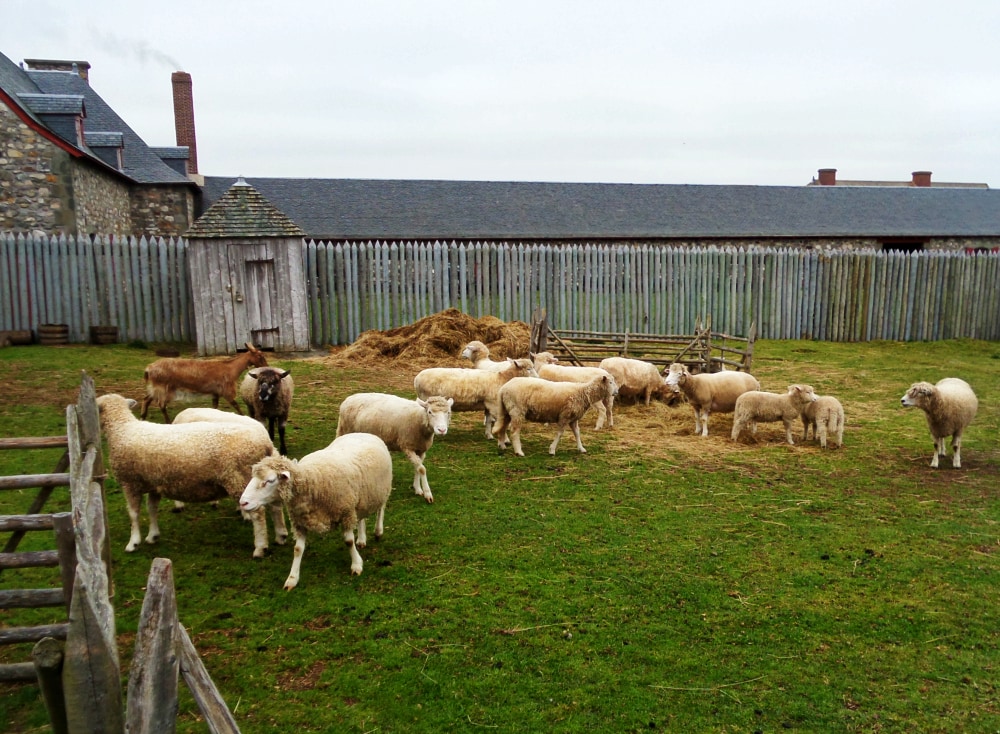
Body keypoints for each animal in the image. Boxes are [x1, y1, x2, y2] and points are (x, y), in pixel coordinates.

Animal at [96, 396, 286, 556]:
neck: (121, 429)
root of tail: (266, 443)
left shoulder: (129, 482)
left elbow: (133, 514)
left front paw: (133, 542)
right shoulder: (154, 483)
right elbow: (151, 509)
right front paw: (153, 535)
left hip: (238, 478)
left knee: (258, 513)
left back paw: (260, 547)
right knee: (275, 506)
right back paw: (280, 536)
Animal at [139, 342, 270, 422]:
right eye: (260, 356)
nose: (266, 366)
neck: (231, 369)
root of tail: (148, 369)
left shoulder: (215, 392)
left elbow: (215, 407)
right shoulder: (226, 390)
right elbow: (235, 404)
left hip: (156, 387)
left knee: (146, 399)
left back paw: (142, 417)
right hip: (162, 387)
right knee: (161, 404)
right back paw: (167, 421)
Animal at [239, 434, 394, 588]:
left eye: (270, 481)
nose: (243, 502)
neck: (311, 480)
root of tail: (363, 433)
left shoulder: (346, 512)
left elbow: (349, 542)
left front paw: (356, 565)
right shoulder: (300, 521)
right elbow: (298, 549)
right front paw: (292, 578)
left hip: (382, 490)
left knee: (381, 509)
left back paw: (378, 531)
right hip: (362, 497)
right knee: (361, 517)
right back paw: (361, 539)